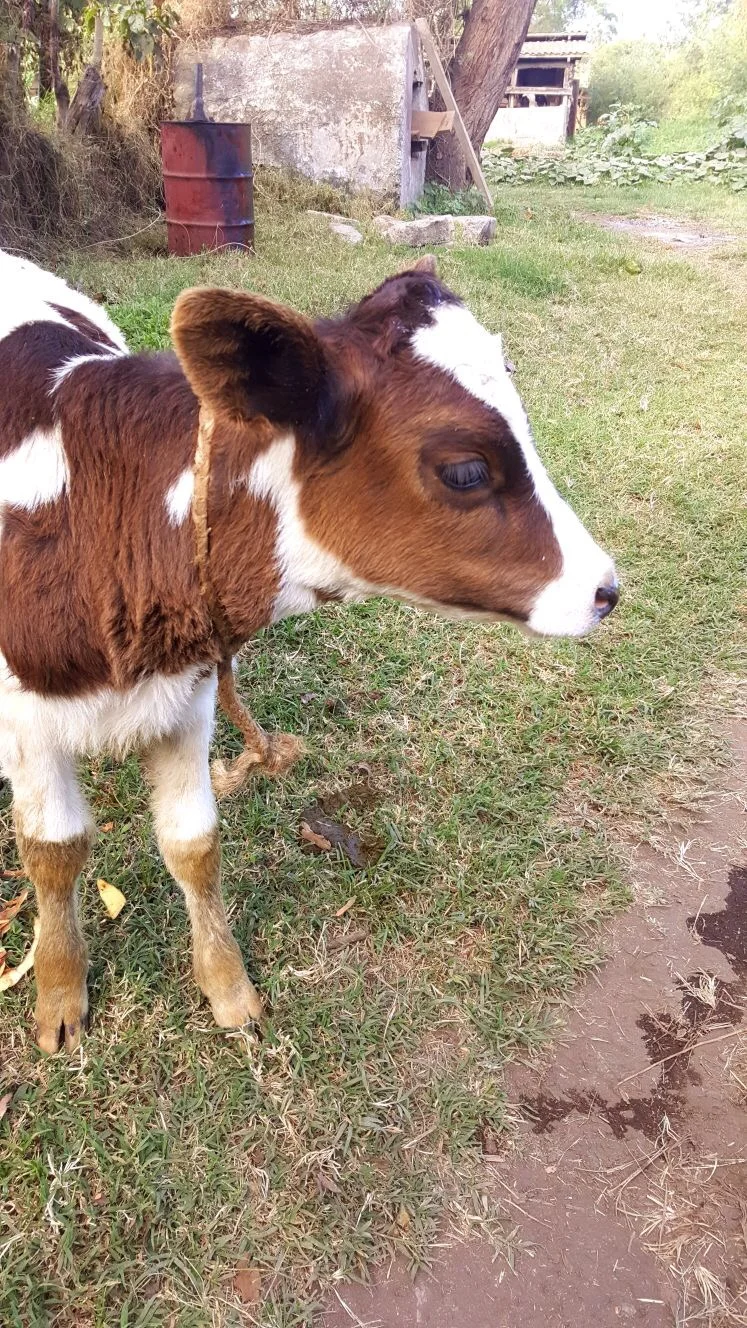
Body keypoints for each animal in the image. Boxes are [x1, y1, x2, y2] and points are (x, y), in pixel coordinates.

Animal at [0, 249, 618, 1053]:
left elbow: (193, 842)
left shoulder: (189, 697)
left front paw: (228, 987)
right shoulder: (26, 721)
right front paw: (59, 993)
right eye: (464, 470)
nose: (605, 588)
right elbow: (54, 853)